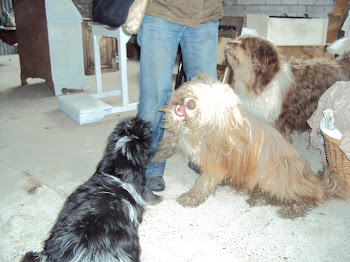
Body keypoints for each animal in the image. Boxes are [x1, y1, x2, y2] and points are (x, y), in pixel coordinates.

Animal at [153, 75, 348, 219]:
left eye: (212, 103)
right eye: (202, 91)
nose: (191, 104)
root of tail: (312, 179)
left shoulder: (215, 165)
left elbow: (202, 184)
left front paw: (191, 197)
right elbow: (172, 142)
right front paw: (158, 154)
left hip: (274, 176)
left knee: (305, 197)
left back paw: (292, 210)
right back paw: (259, 199)